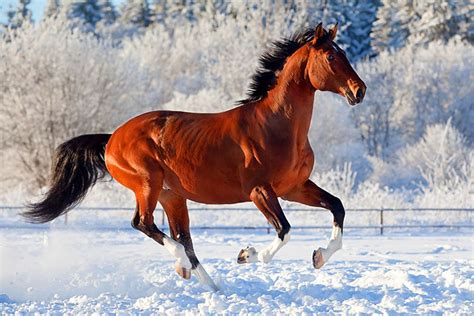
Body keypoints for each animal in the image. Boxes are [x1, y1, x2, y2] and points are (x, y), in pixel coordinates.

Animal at [23, 23, 366, 292]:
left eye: (344, 54)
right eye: (331, 56)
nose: (359, 91)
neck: (276, 126)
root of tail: (111, 139)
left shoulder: (294, 187)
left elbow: (337, 206)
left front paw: (319, 256)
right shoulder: (261, 191)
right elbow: (284, 229)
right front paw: (247, 255)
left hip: (172, 196)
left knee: (182, 238)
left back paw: (209, 284)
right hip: (147, 185)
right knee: (144, 224)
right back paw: (182, 265)